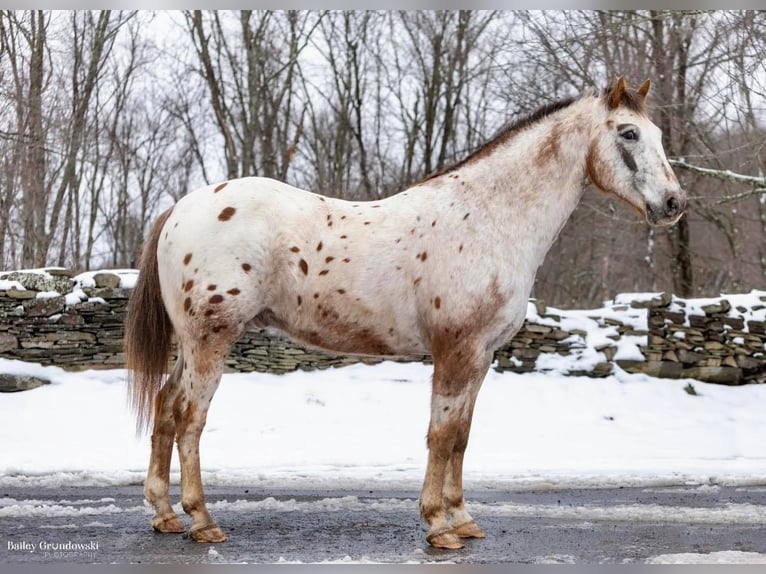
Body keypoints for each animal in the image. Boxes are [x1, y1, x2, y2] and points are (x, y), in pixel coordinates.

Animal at [123, 76, 688, 548]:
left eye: (660, 133)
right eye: (630, 133)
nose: (673, 203)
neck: (489, 218)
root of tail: (181, 208)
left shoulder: (481, 356)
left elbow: (461, 436)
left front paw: (463, 519)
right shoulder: (456, 350)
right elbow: (440, 435)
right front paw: (438, 526)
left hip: (191, 344)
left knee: (165, 407)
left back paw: (164, 514)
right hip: (211, 340)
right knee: (190, 417)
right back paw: (202, 521)